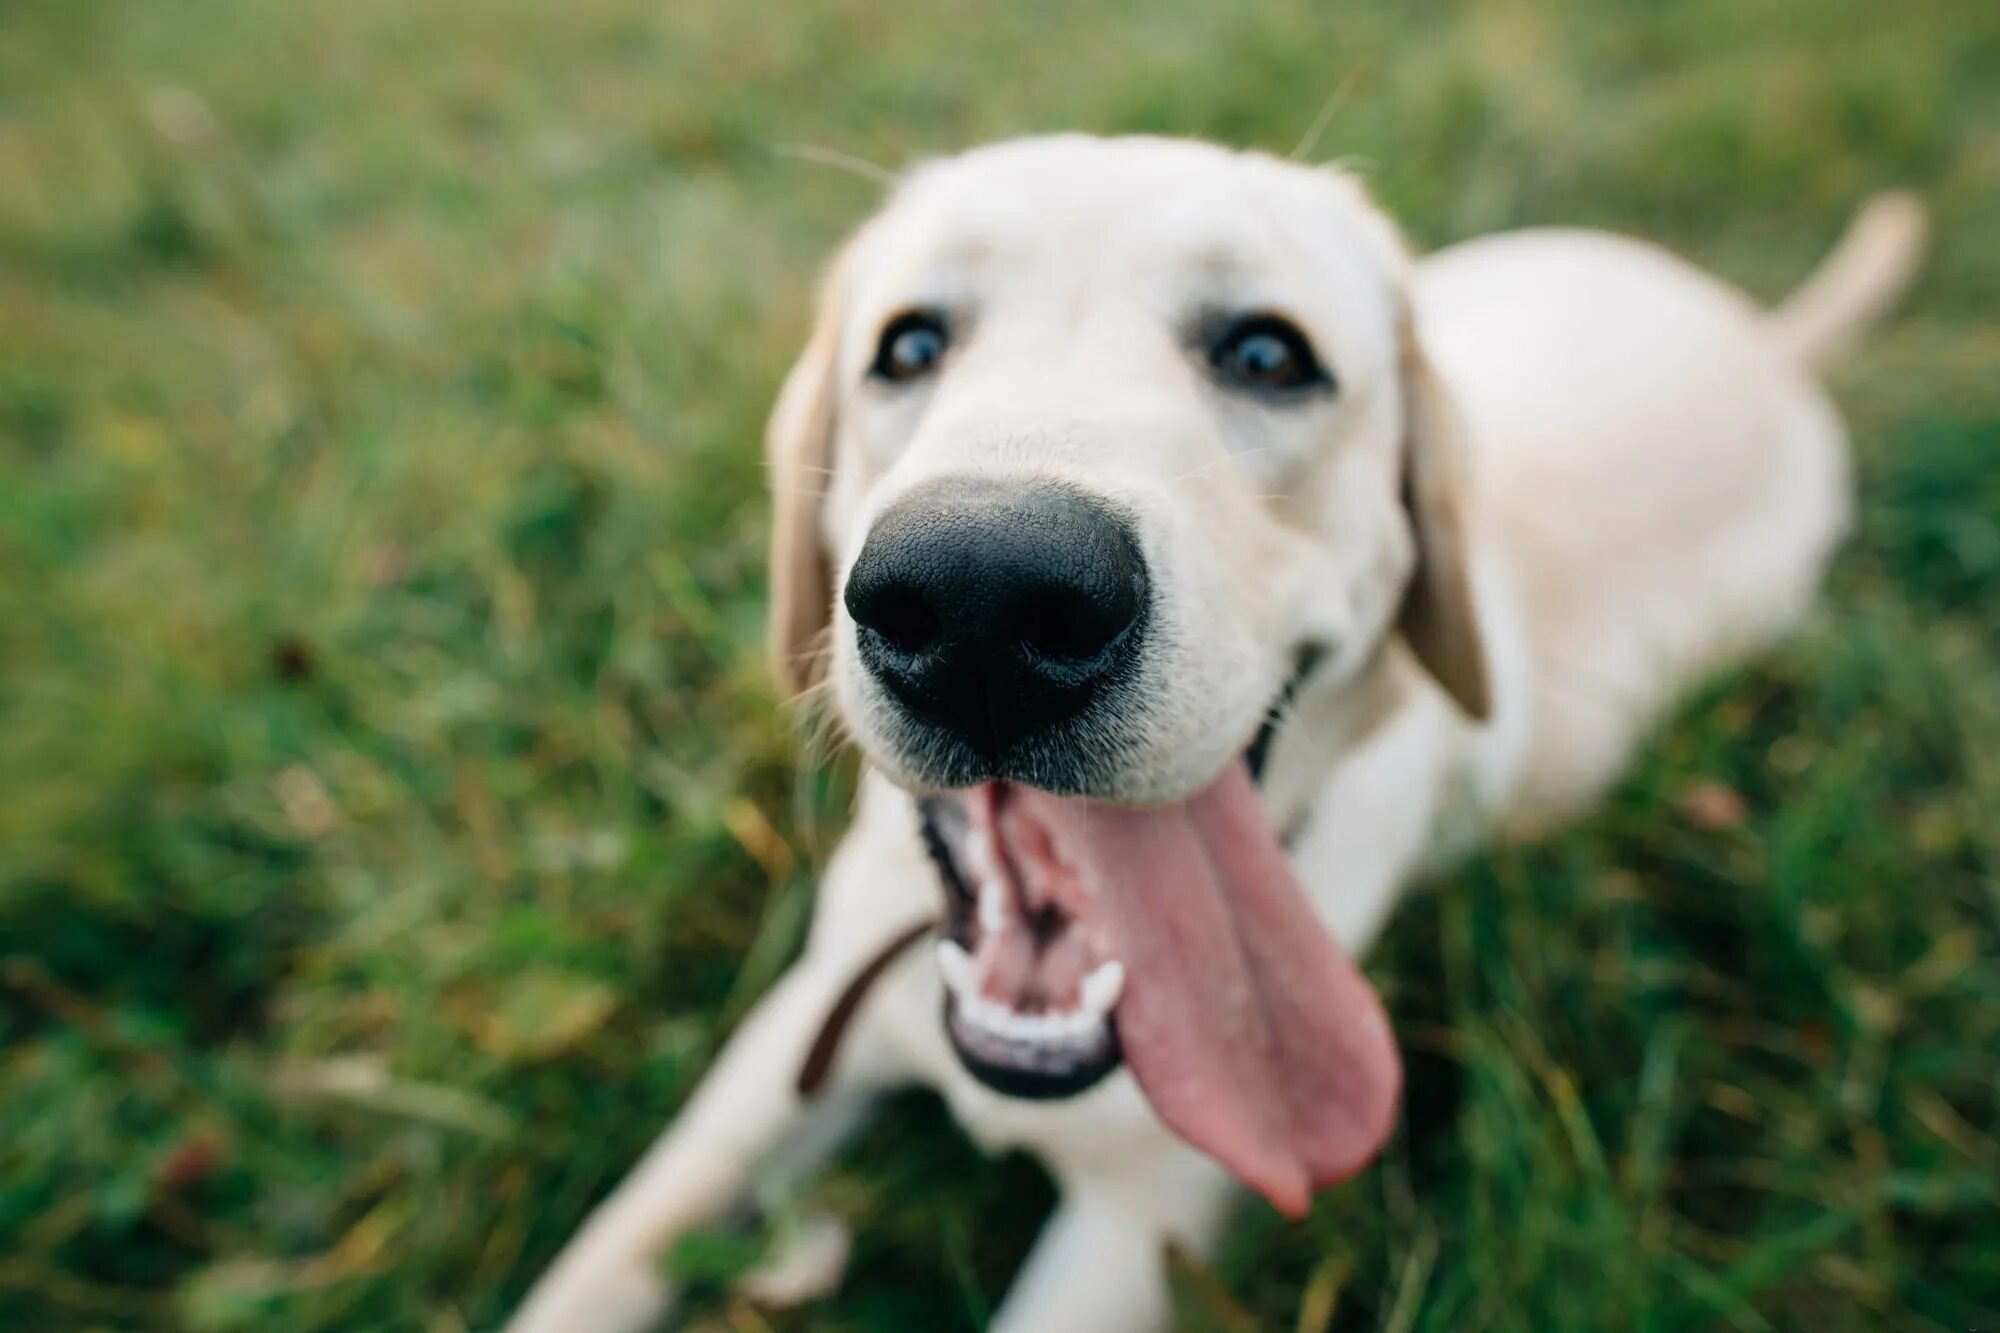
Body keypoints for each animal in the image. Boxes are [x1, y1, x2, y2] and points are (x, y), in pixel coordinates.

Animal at [512, 137, 1920, 1328]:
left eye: (1264, 355)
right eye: (906, 347)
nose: (981, 600)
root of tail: (1762, 336)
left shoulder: (1137, 1236)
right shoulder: (796, 1035)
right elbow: (612, 1247)